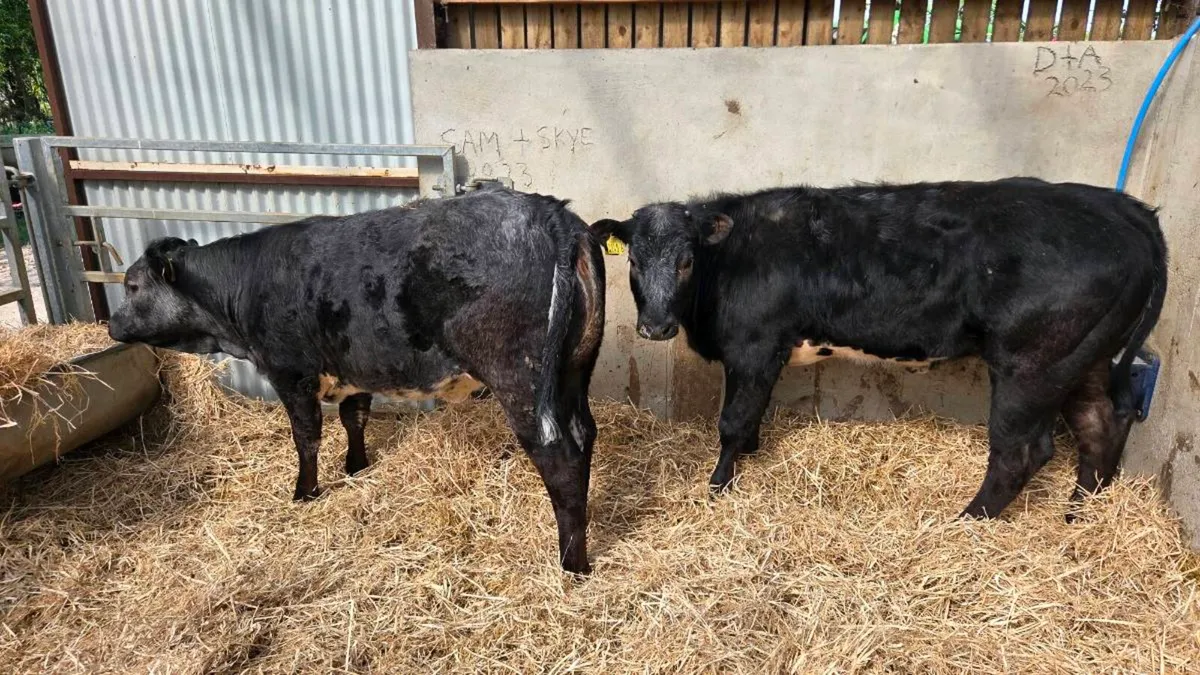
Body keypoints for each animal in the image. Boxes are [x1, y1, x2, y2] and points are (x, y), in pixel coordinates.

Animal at [107, 184, 606, 573]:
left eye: (132, 286)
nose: (111, 325)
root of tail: (552, 212)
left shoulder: (290, 372)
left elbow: (306, 436)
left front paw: (305, 491)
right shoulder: (355, 368)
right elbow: (355, 417)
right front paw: (356, 466)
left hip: (522, 381)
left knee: (559, 455)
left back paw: (571, 563)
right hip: (572, 373)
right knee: (584, 437)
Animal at [591, 178, 1167, 521]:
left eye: (686, 260)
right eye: (634, 261)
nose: (655, 327)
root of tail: (1121, 207)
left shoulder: (753, 347)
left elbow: (733, 421)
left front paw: (718, 487)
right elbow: (753, 415)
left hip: (1031, 365)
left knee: (1021, 450)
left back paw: (967, 521)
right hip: (1083, 358)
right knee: (1102, 421)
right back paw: (1079, 512)